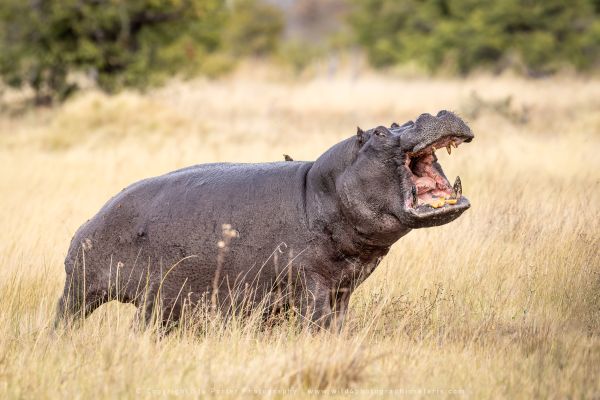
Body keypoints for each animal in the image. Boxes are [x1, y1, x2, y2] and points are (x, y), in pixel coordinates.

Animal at [57, 110, 478, 332]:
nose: (433, 113)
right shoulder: (310, 283)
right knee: (66, 317)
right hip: (79, 290)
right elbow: (317, 323)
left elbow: (339, 324)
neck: (322, 190)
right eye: (378, 130)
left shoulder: (342, 288)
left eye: (400, 120)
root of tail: (88, 221)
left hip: (157, 305)